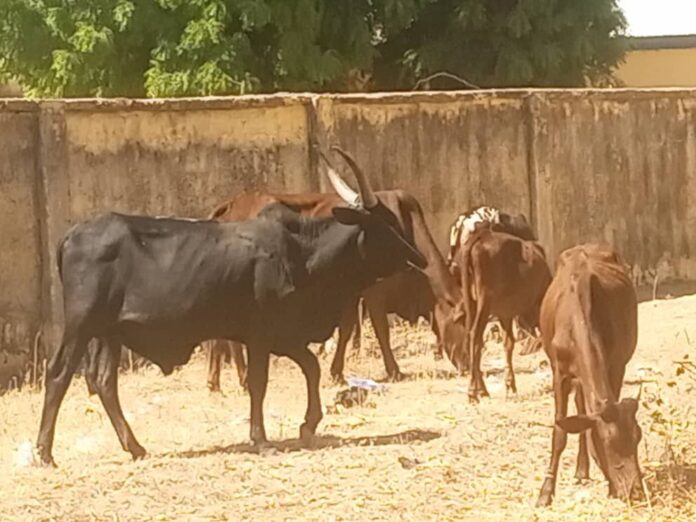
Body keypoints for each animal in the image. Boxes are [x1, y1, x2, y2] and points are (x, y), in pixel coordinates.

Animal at [35, 147, 428, 466]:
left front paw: (308, 423)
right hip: (81, 326)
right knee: (58, 375)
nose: (418, 258)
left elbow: (312, 367)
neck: (303, 252)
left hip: (109, 334)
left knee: (103, 382)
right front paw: (261, 439)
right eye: (385, 223)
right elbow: (259, 382)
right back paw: (45, 452)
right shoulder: (260, 335)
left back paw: (135, 447)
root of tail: (70, 236)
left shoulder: (284, 336)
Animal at [204, 185, 464, 391]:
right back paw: (241, 378)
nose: (467, 365)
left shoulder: (352, 292)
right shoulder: (374, 291)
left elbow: (347, 328)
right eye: (463, 321)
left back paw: (216, 382)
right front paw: (394, 370)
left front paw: (336, 372)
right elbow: (380, 328)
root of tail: (230, 206)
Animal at [453, 225, 551, 402]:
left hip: (473, 303)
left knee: (472, 337)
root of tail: (482, 235)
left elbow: (508, 343)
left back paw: (481, 389)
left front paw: (509, 383)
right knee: (475, 337)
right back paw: (473, 392)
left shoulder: (505, 313)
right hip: (484, 302)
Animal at [536, 244, 642, 506]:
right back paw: (581, 470)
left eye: (638, 437)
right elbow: (560, 431)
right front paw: (545, 492)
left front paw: (611, 486)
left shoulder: (616, 366)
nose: (635, 491)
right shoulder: (559, 373)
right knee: (580, 408)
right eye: (607, 442)